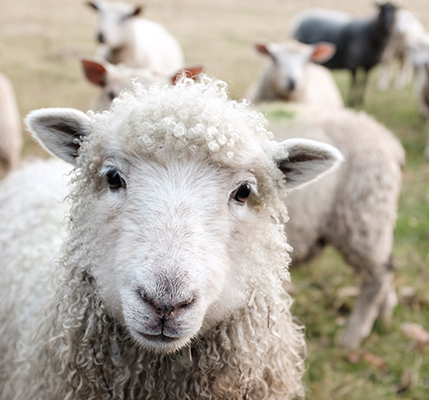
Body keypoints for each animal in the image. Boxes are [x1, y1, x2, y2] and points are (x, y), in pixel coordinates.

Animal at [258, 101, 404, 348]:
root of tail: (389, 140)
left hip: (362, 217)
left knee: (379, 275)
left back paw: (353, 337)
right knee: (387, 266)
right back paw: (384, 314)